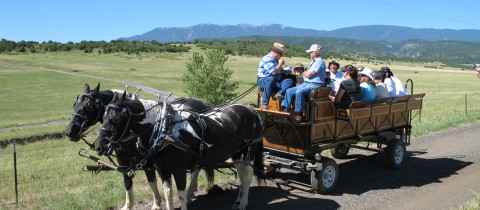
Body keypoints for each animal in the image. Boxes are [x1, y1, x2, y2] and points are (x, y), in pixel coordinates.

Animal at [65, 83, 210, 208]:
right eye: (74, 105)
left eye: (88, 107)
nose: (69, 132)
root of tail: (203, 102)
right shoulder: (123, 161)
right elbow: (127, 182)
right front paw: (128, 205)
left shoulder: (148, 162)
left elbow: (152, 181)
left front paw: (157, 204)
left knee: (197, 168)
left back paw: (190, 192)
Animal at [95, 92, 264, 210]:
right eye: (103, 116)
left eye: (115, 119)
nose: (98, 146)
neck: (165, 128)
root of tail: (251, 110)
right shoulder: (162, 169)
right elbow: (168, 192)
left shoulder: (179, 169)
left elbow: (181, 194)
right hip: (237, 153)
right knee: (242, 175)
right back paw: (238, 200)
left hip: (249, 151)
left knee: (247, 176)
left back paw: (243, 203)